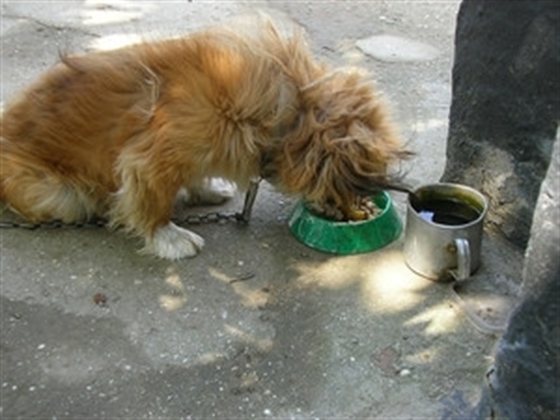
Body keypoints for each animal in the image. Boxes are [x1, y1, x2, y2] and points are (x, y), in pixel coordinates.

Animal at [0, 17, 412, 260]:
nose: (360, 208)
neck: (283, 116)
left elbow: (193, 175)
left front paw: (206, 190)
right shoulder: (149, 161)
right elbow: (155, 203)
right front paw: (168, 238)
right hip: (64, 197)